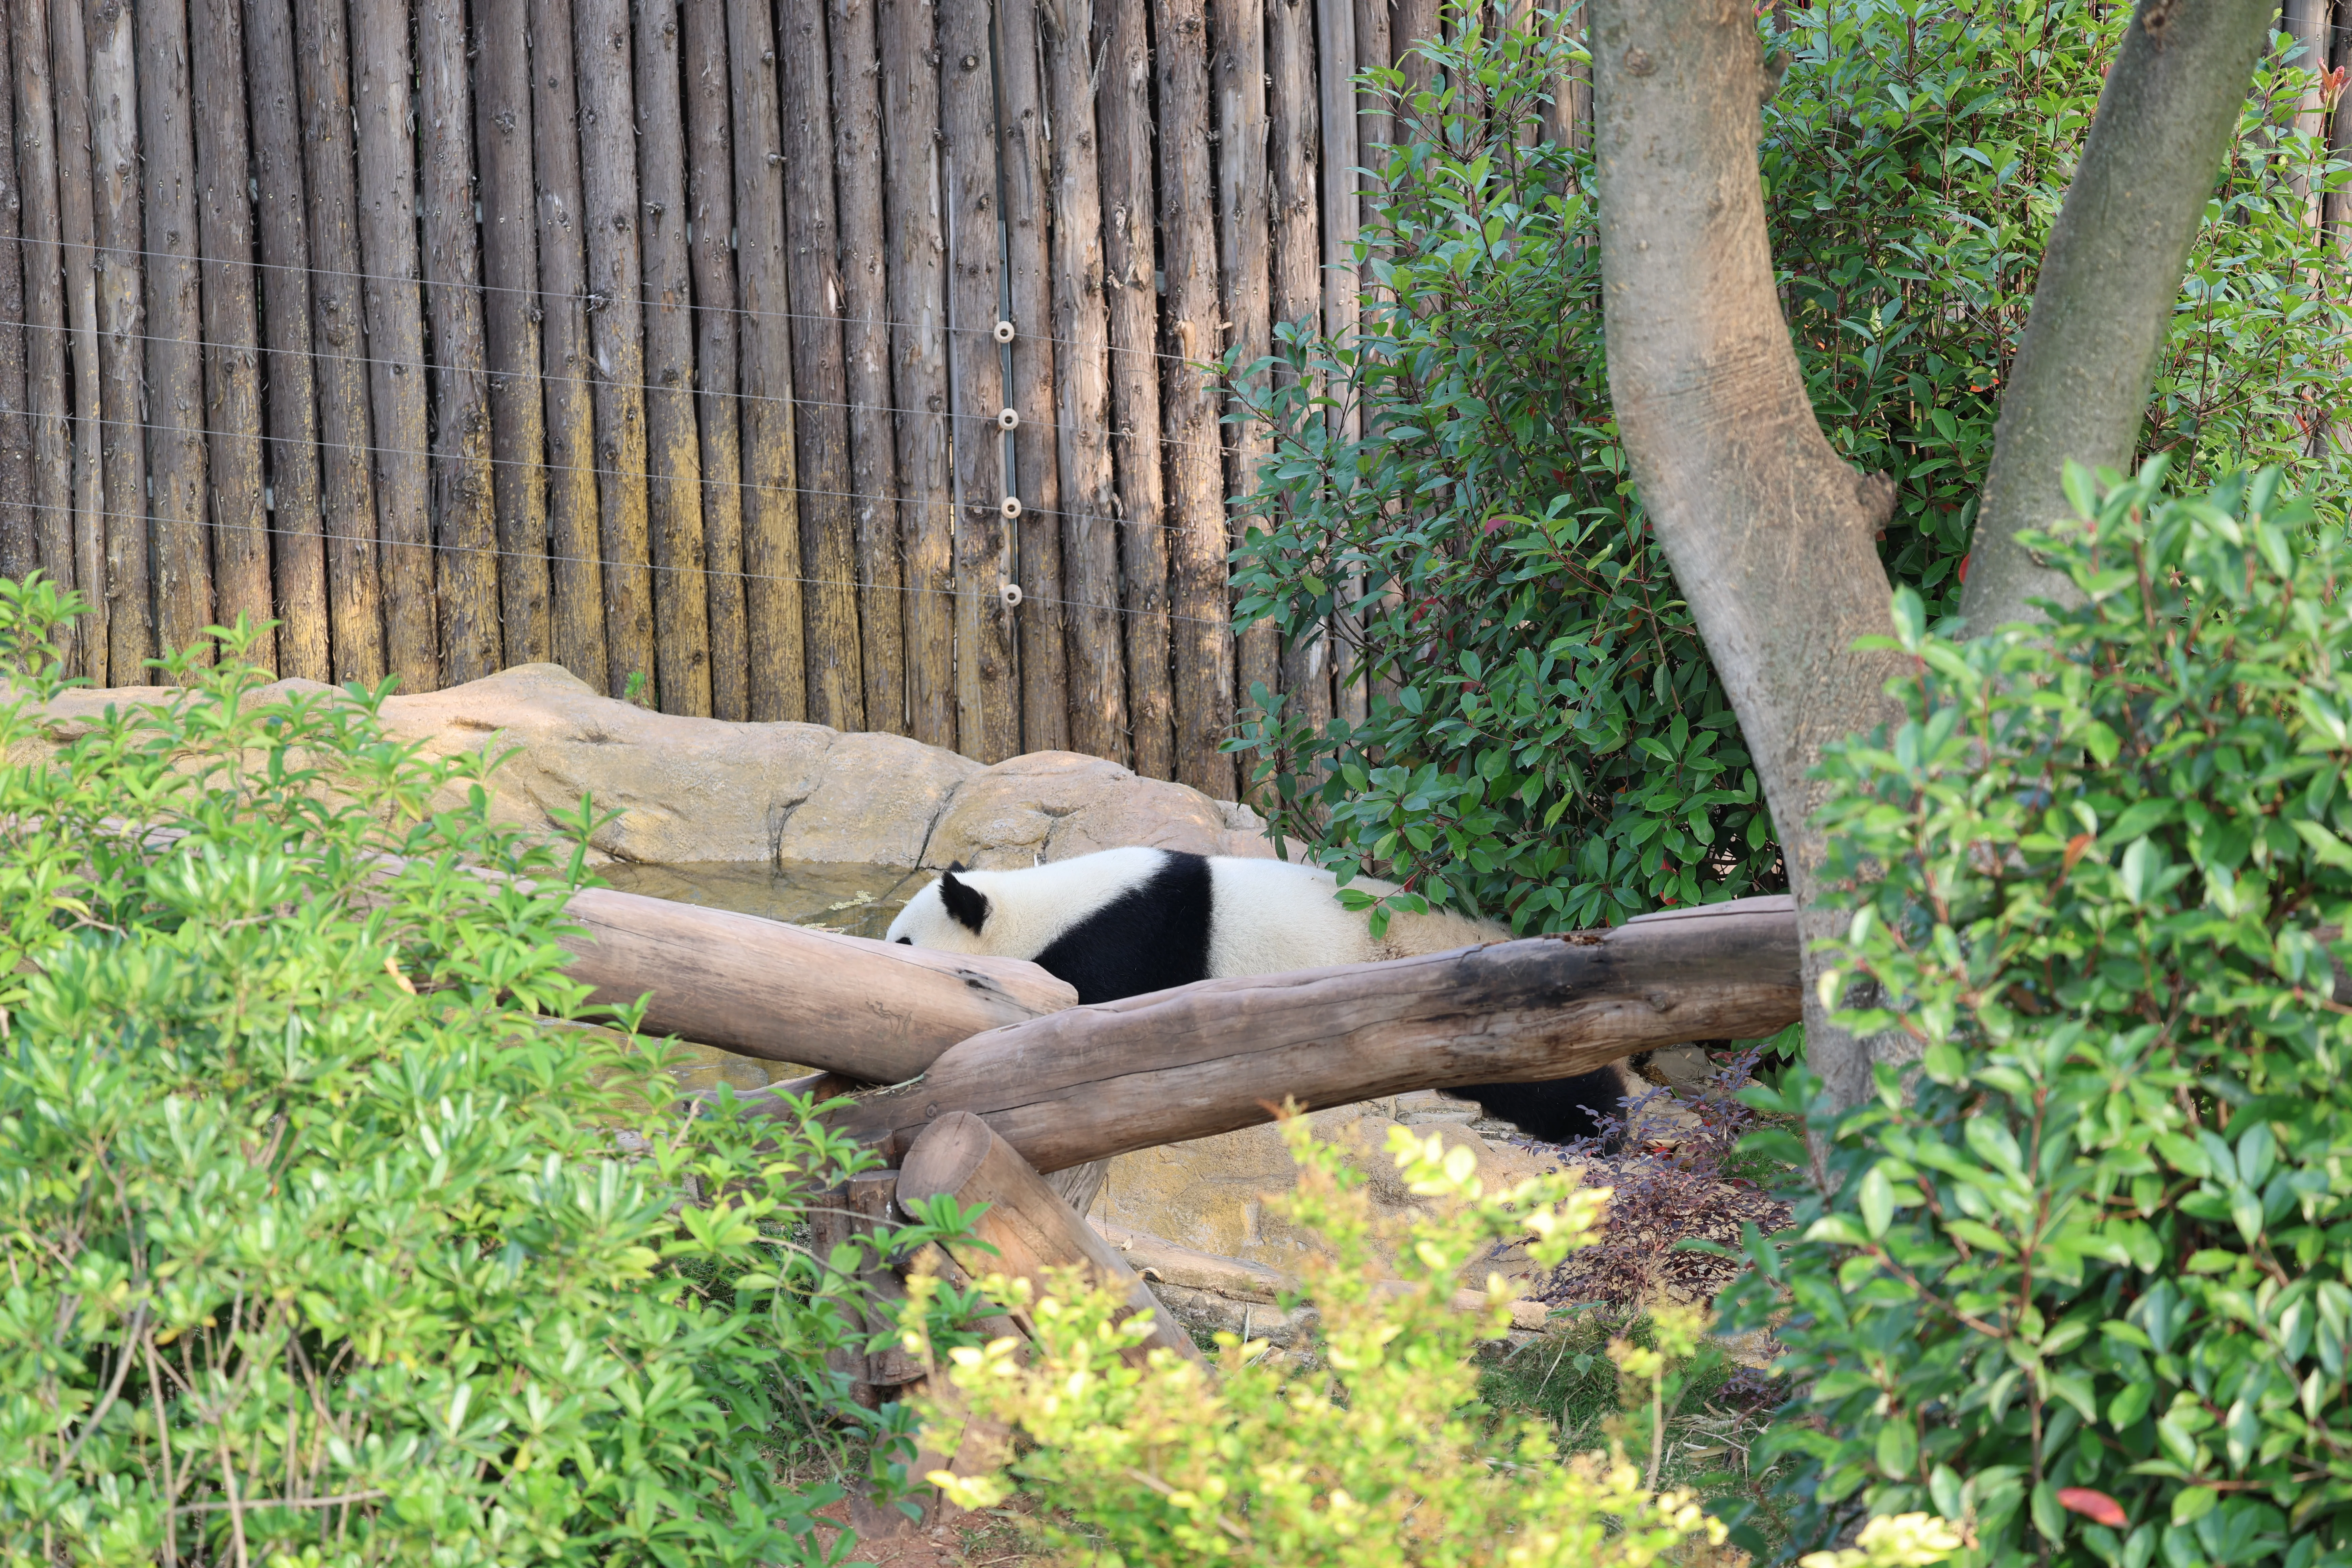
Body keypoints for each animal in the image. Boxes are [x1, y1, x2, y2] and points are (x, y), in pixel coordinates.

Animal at [883, 846, 1646, 1147]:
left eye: (904, 944)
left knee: (1551, 1078)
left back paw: (1600, 1126)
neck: (1041, 904)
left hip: (1480, 1008)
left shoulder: (1122, 943)